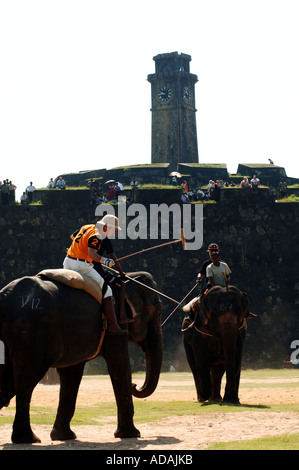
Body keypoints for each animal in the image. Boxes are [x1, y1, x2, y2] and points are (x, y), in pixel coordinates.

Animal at [0, 270, 164, 442]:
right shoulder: (116, 320)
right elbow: (119, 365)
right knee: (26, 380)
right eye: (158, 310)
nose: (135, 385)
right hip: (31, 334)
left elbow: (71, 373)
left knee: (9, 381)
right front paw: (131, 435)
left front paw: (63, 437)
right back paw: (29, 439)